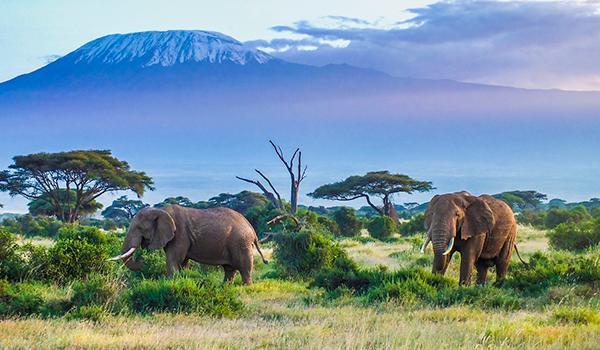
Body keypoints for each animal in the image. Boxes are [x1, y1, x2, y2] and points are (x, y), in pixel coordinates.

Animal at [108, 205, 268, 284]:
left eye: (140, 228)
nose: (143, 260)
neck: (161, 210)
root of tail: (251, 228)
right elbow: (182, 262)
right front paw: (180, 280)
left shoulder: (180, 235)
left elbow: (173, 260)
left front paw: (170, 283)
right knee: (229, 269)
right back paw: (225, 287)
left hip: (241, 242)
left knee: (244, 267)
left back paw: (246, 286)